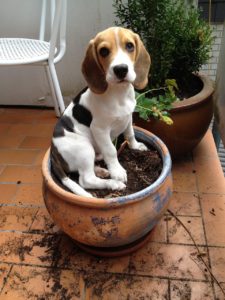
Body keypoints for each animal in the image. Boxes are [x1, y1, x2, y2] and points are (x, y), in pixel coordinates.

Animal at [50, 26, 150, 197]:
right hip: (84, 148)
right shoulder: (100, 129)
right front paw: (117, 172)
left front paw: (136, 146)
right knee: (85, 180)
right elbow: (111, 150)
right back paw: (113, 183)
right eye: (103, 51)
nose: (121, 69)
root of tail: (52, 152)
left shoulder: (128, 118)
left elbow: (130, 134)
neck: (118, 93)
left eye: (130, 46)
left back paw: (102, 171)